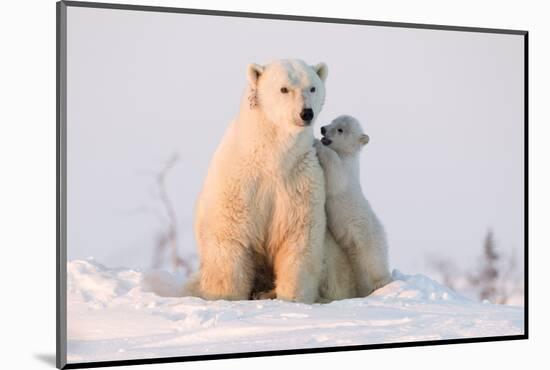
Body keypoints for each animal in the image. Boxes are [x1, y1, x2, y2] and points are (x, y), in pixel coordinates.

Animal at [192, 60, 356, 304]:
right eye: (284, 89)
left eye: (312, 87)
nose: (306, 113)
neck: (271, 156)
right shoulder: (239, 183)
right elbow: (229, 238)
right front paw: (226, 297)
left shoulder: (299, 181)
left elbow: (298, 239)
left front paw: (291, 298)